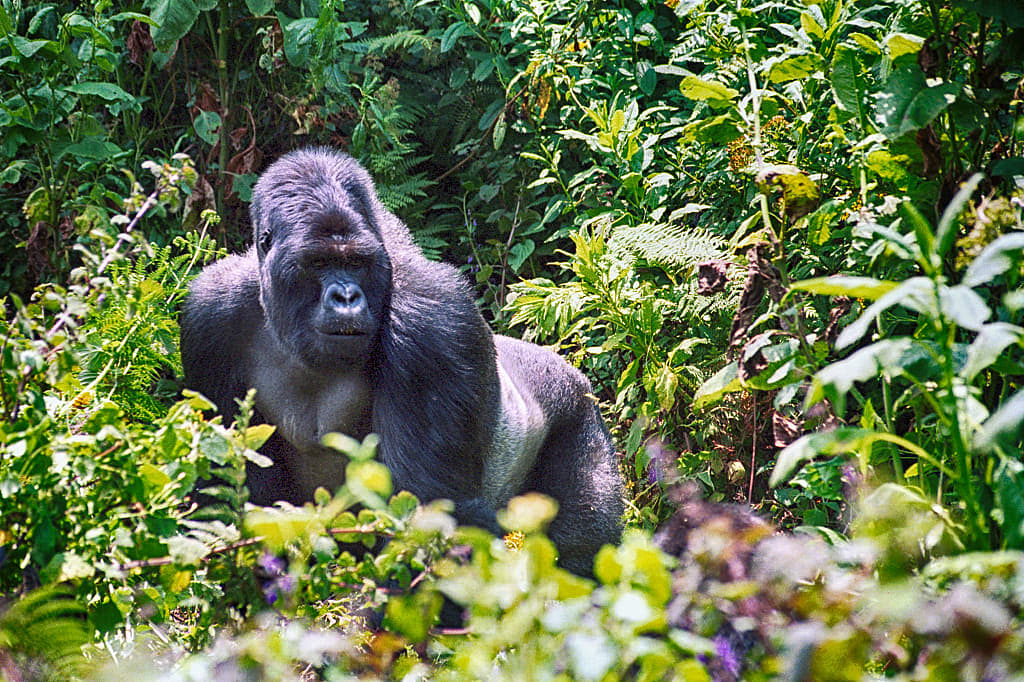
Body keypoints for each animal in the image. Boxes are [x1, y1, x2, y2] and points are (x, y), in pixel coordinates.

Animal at [180, 148, 623, 576]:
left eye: (356, 262)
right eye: (319, 263)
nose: (346, 297)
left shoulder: (431, 321)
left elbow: (428, 515)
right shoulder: (208, 316)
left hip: (580, 413)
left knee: (582, 553)